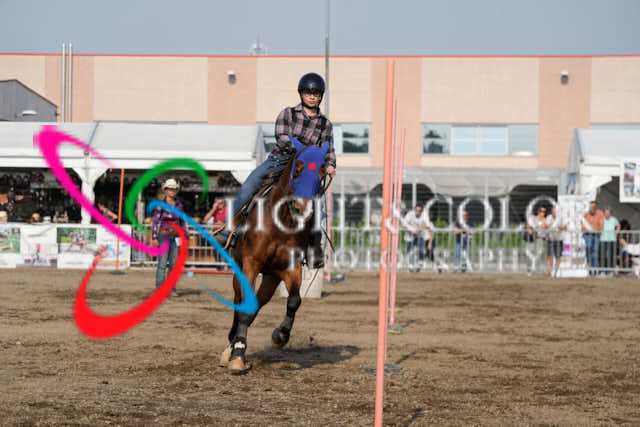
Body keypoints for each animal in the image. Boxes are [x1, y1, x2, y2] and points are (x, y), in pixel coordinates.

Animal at [218, 138, 329, 374]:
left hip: (271, 278)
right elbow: (245, 308)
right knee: (240, 303)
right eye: (298, 169)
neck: (281, 221)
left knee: (256, 305)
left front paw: (280, 335)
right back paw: (229, 349)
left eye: (322, 172)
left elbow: (294, 300)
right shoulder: (251, 264)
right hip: (239, 273)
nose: (303, 207)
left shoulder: (291, 268)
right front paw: (237, 356)